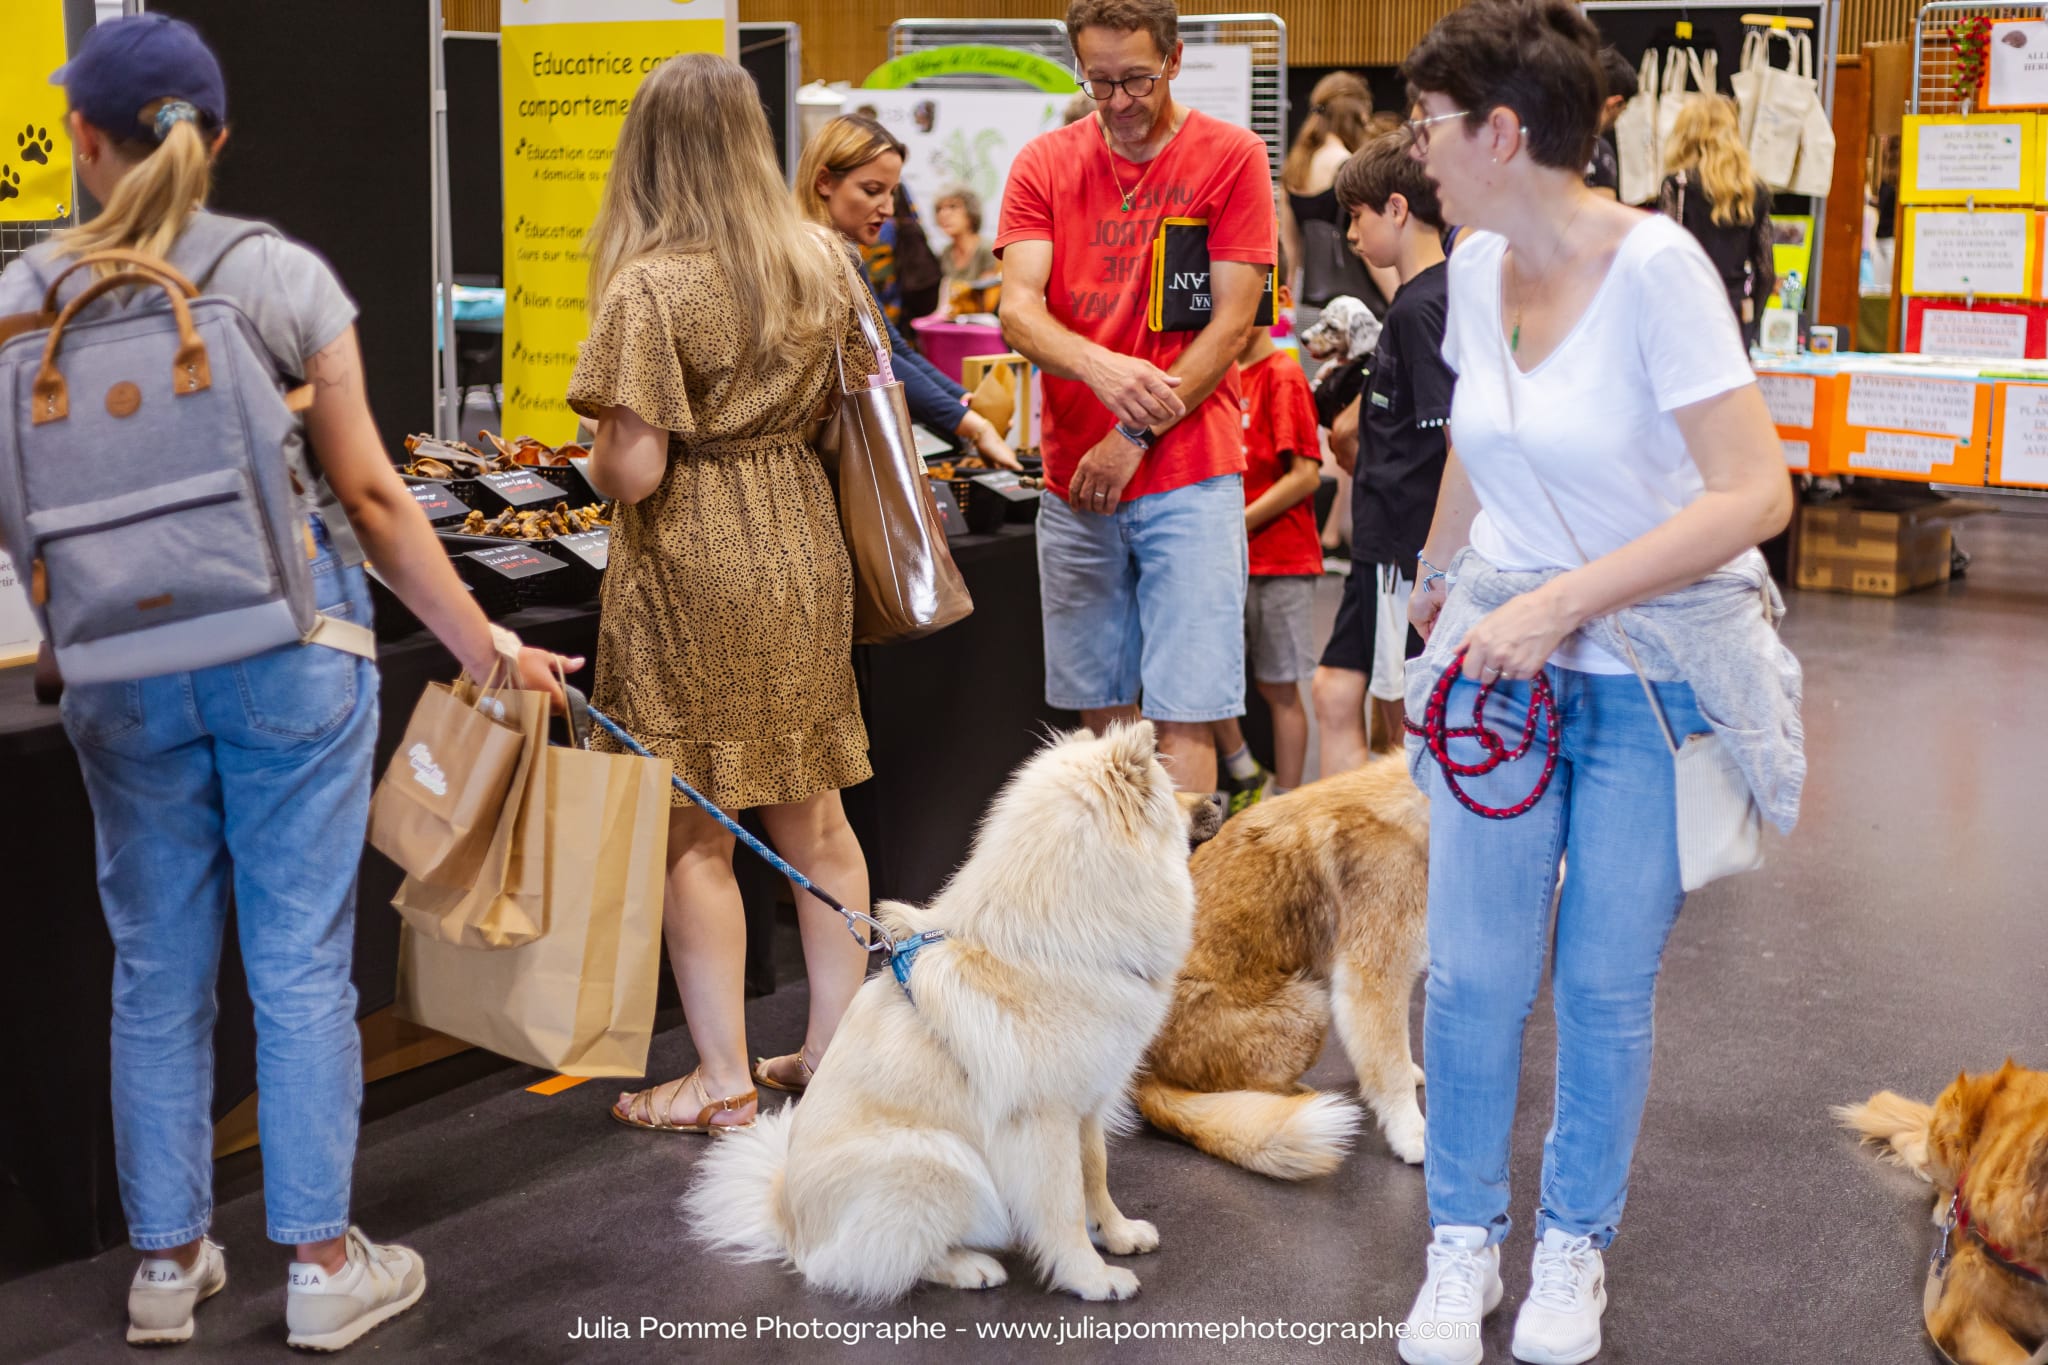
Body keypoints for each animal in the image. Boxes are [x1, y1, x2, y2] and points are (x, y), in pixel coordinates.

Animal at [684, 720, 1196, 1309]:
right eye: (1173, 792)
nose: (1215, 801)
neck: (1050, 944)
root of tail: (786, 1218)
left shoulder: (1087, 1104)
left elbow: (1096, 1175)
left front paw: (1118, 1234)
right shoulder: (1044, 1120)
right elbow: (1064, 1206)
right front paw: (1090, 1277)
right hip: (939, 1159)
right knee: (870, 1262)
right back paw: (970, 1266)